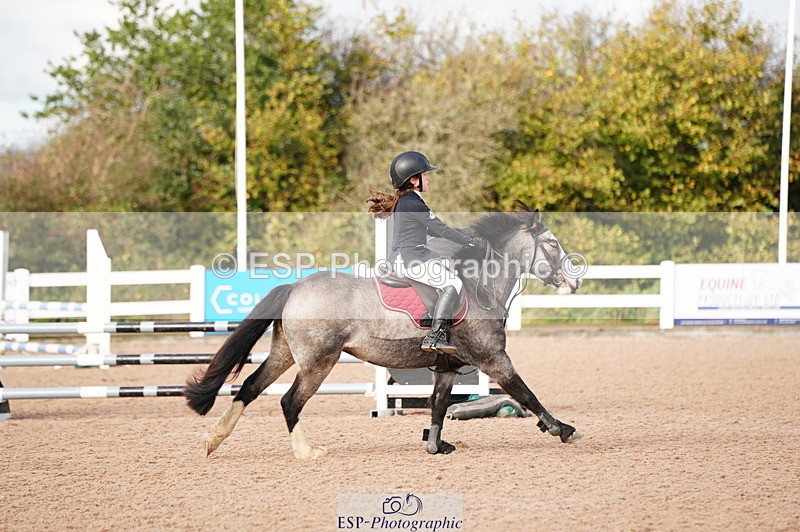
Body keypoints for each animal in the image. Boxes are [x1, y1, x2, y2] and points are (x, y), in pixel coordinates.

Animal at [185, 203, 583, 458]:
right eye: (552, 244)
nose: (574, 282)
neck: (478, 285)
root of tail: (295, 287)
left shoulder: (449, 369)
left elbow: (438, 406)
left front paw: (435, 446)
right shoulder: (494, 359)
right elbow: (527, 394)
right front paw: (562, 429)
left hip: (285, 354)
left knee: (250, 388)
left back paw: (212, 440)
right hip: (318, 362)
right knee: (289, 401)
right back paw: (306, 451)